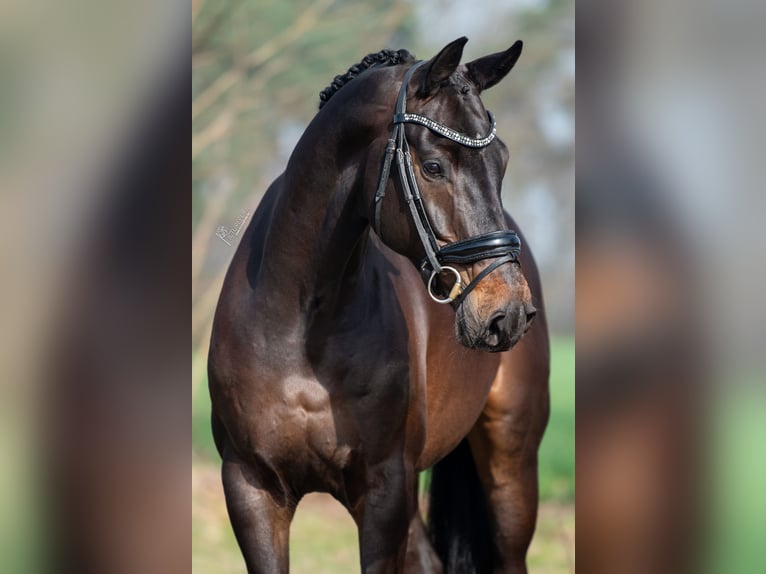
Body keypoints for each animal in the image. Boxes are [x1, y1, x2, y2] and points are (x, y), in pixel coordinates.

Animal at [208, 37, 550, 573]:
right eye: (433, 166)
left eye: (503, 160)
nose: (508, 313)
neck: (300, 324)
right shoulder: (251, 490)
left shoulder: (385, 493)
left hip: (511, 466)